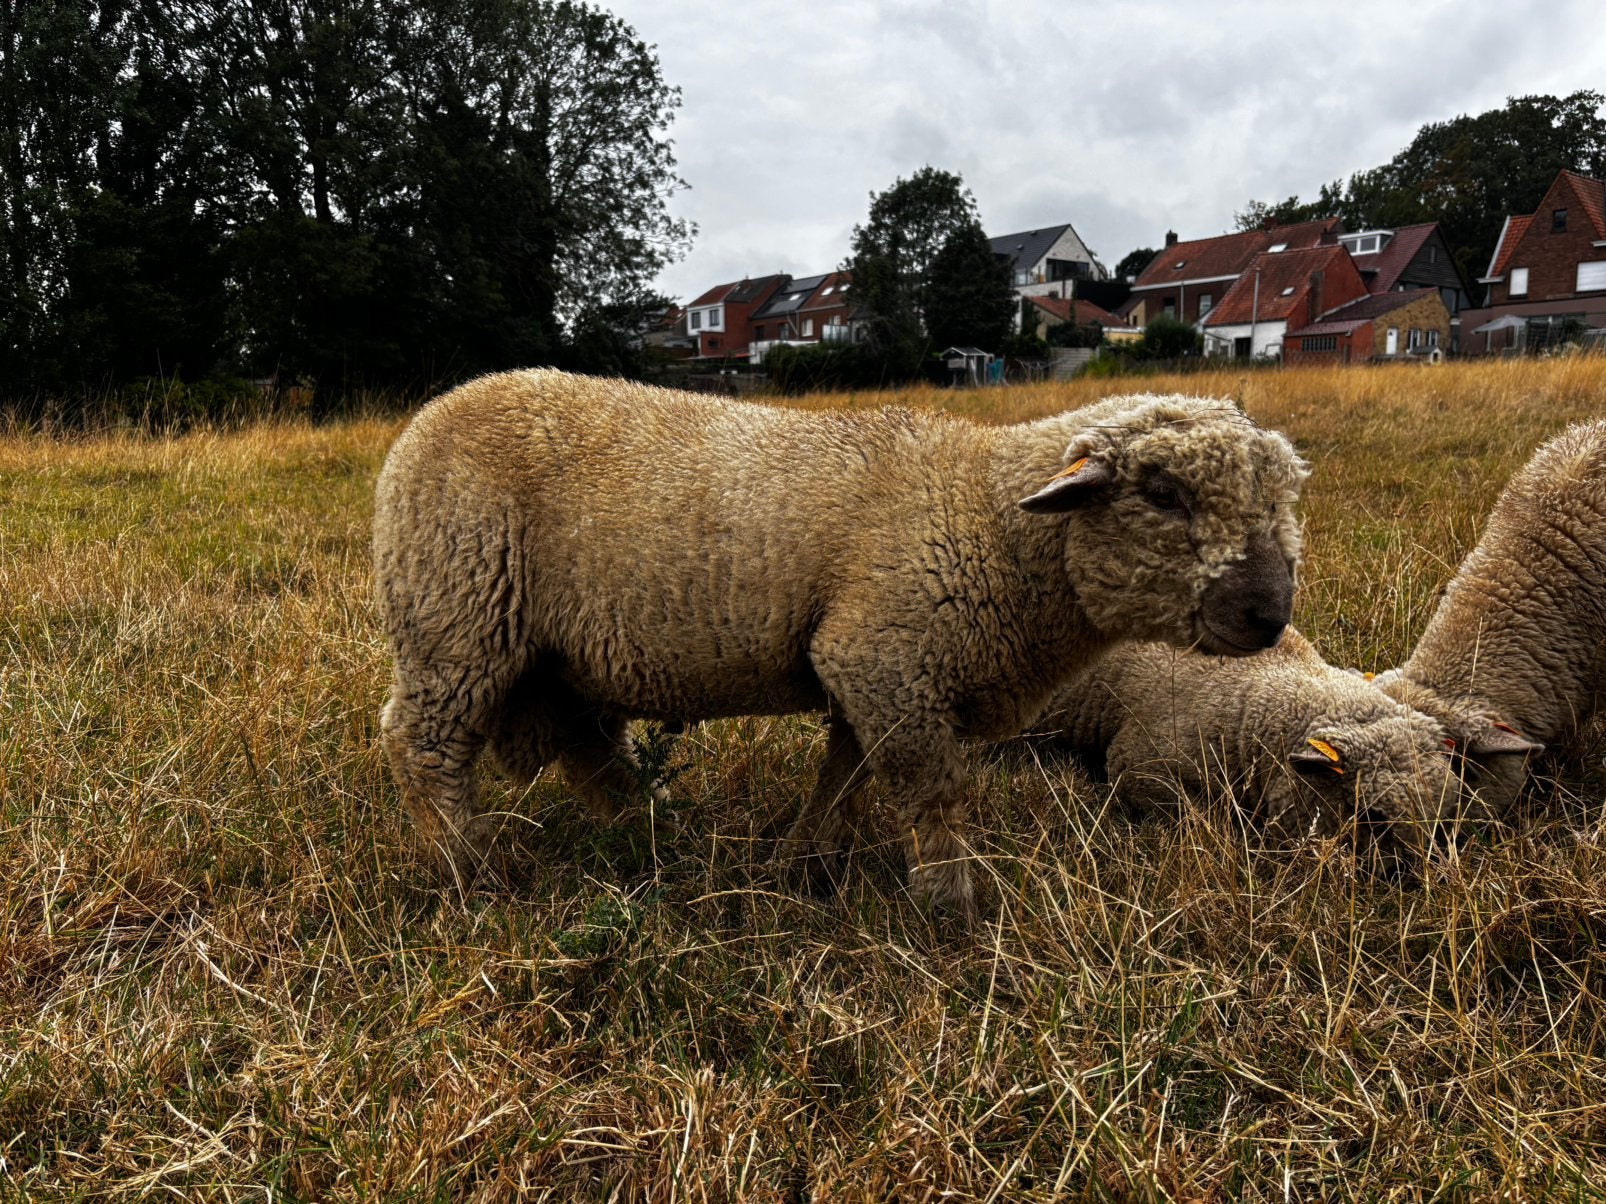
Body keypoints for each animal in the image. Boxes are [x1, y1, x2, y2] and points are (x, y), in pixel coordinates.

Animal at [373, 368, 1308, 924]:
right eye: (1161, 493)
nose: (1269, 613)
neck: (986, 512)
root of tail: (427, 416)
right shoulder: (885, 653)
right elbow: (931, 790)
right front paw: (951, 907)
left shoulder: (876, 671)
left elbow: (847, 778)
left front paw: (799, 864)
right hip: (455, 614)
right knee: (422, 745)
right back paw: (473, 873)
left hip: (552, 655)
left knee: (585, 746)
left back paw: (650, 836)